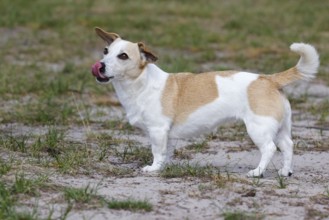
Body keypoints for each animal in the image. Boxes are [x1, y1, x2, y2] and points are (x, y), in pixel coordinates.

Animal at [90, 27, 318, 178]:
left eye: (123, 56)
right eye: (105, 51)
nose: (100, 66)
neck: (141, 84)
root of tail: (268, 79)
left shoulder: (157, 130)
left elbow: (156, 151)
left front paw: (153, 168)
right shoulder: (166, 134)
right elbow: (165, 152)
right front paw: (163, 167)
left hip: (258, 128)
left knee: (269, 149)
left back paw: (257, 172)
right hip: (280, 127)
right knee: (288, 146)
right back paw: (285, 171)